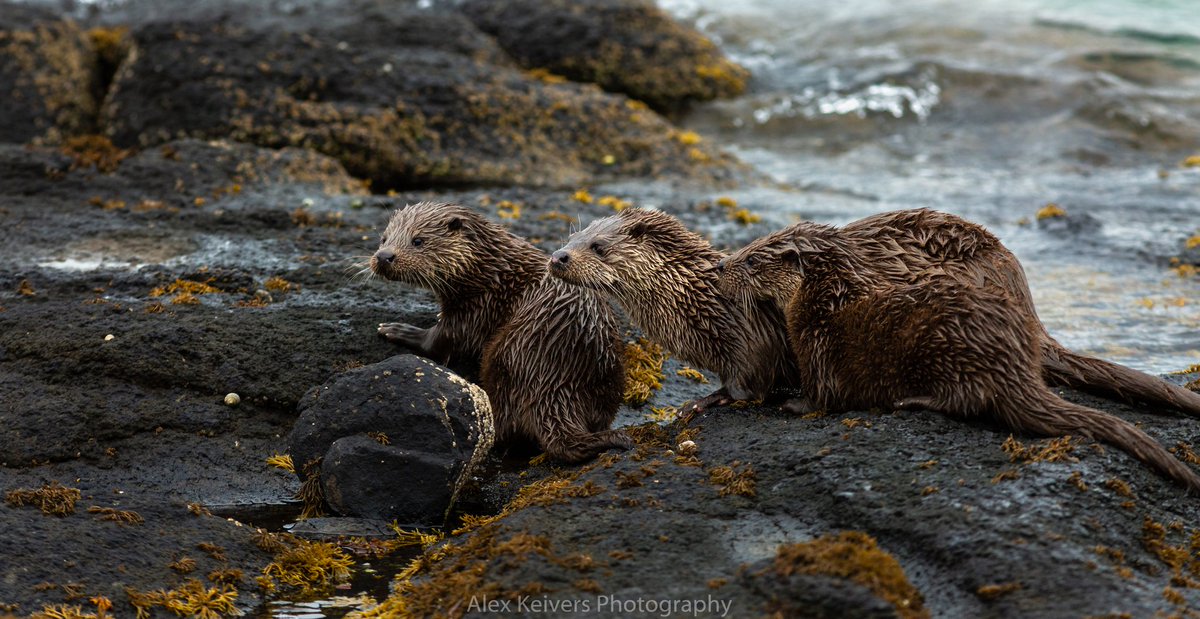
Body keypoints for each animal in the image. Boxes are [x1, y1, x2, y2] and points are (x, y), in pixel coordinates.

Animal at [370, 201, 630, 463]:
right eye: (383, 239)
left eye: (418, 241)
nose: (384, 256)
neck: (490, 271)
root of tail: (556, 382)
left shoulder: (478, 307)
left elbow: (440, 341)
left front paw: (398, 330)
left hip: (504, 355)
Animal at [548, 208, 799, 410]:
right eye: (571, 237)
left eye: (597, 246)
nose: (558, 256)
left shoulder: (754, 334)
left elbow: (749, 383)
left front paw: (704, 401)